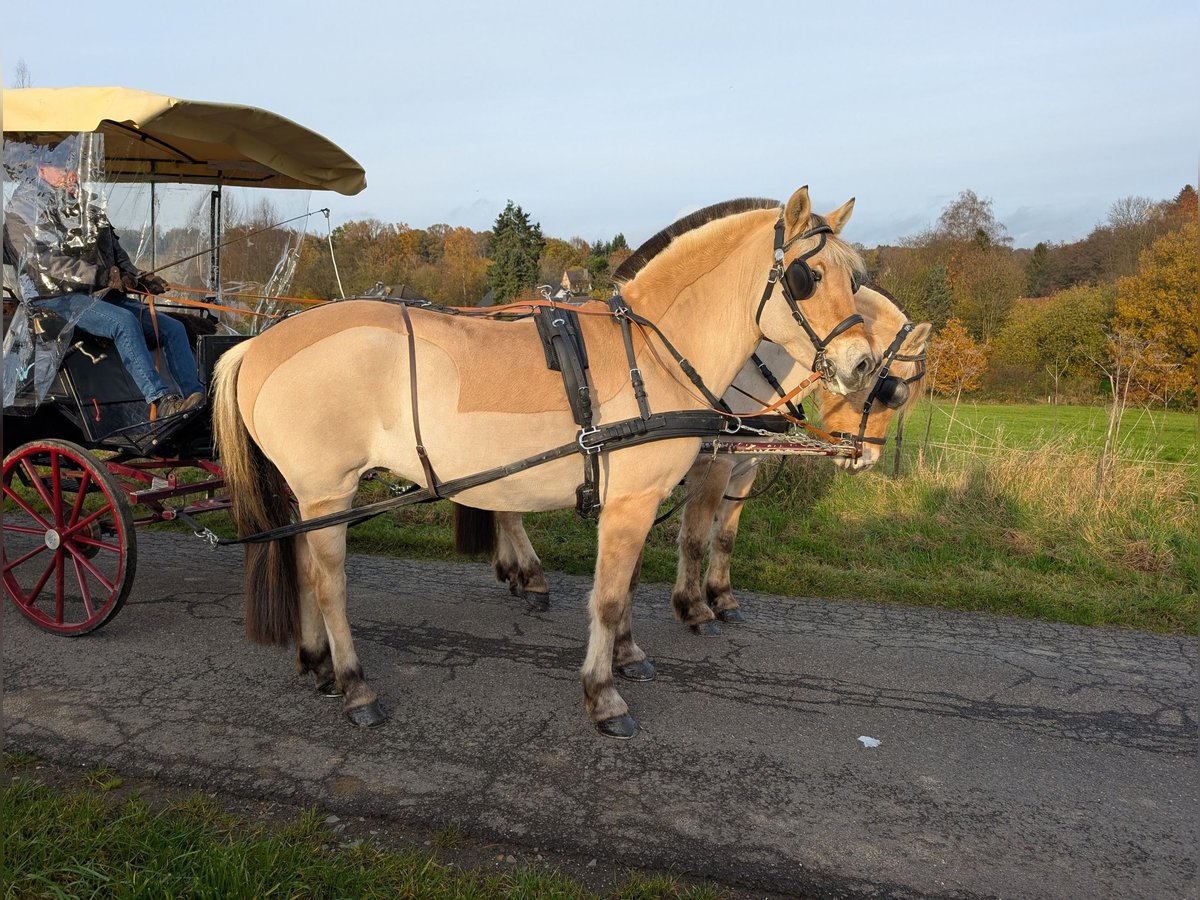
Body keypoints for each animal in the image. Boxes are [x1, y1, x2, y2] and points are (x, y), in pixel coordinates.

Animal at [213, 184, 873, 739]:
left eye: (857, 277)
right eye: (808, 275)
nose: (863, 364)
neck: (652, 353)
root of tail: (259, 342)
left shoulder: (634, 498)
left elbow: (628, 584)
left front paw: (628, 657)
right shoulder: (631, 500)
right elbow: (608, 597)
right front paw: (603, 694)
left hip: (309, 497)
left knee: (301, 567)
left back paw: (318, 665)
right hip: (329, 490)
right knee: (328, 585)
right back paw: (354, 686)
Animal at [482, 285, 931, 638]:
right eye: (891, 389)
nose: (868, 456)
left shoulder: (743, 467)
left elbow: (725, 537)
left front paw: (722, 598)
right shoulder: (711, 466)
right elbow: (695, 538)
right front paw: (693, 607)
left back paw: (512, 570)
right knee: (508, 510)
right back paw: (533, 578)